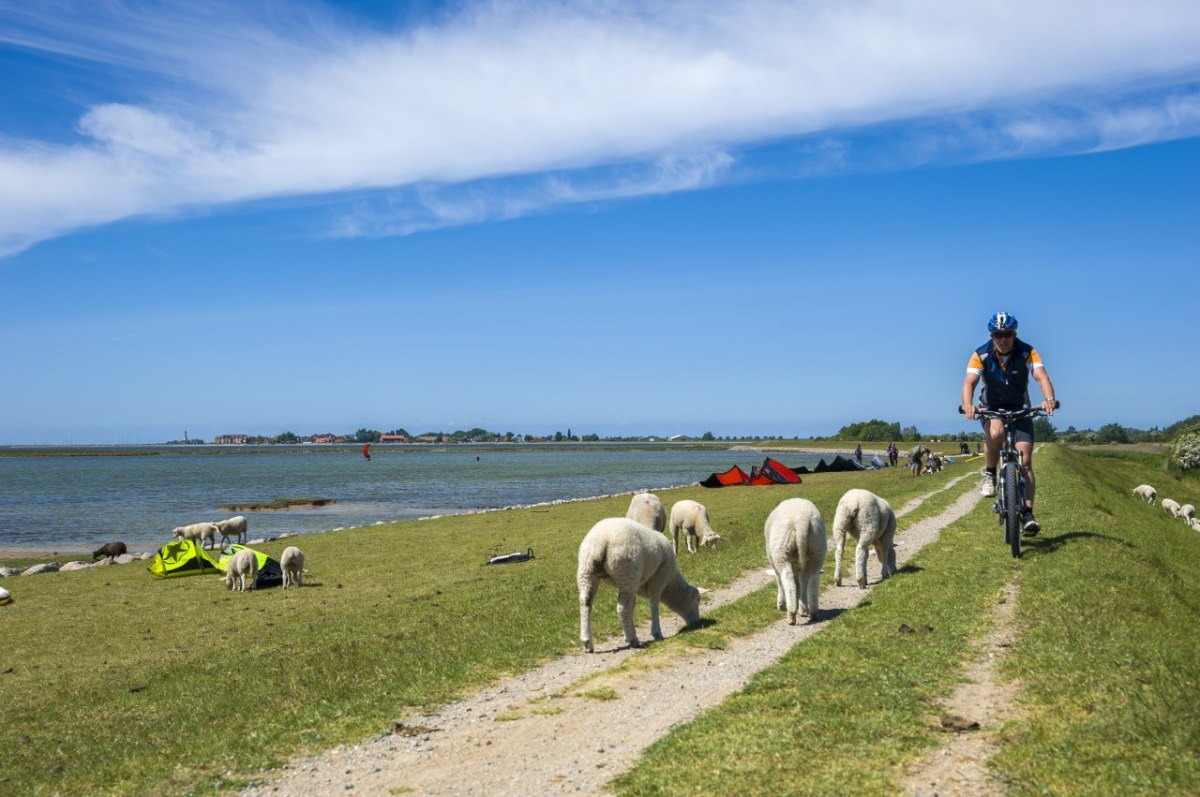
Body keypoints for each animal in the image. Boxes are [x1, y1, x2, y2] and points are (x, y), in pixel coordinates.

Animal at [578, 516, 705, 652]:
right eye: (697, 599)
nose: (697, 623)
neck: (670, 583)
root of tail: (601, 541)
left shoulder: (636, 585)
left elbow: (632, 607)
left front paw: (628, 631)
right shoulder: (658, 579)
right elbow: (654, 604)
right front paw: (656, 633)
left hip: (588, 573)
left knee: (585, 603)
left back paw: (587, 642)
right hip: (627, 571)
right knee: (622, 608)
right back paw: (633, 640)